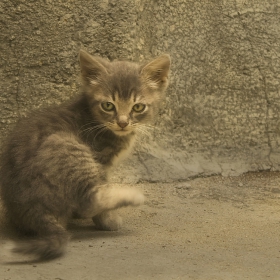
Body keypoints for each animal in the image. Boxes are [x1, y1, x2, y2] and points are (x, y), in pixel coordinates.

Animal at [0, 49, 171, 260]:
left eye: (138, 107)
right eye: (108, 105)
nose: (122, 123)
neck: (94, 118)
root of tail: (32, 210)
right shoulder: (101, 161)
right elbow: (101, 190)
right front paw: (107, 220)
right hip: (69, 147)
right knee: (86, 201)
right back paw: (132, 196)